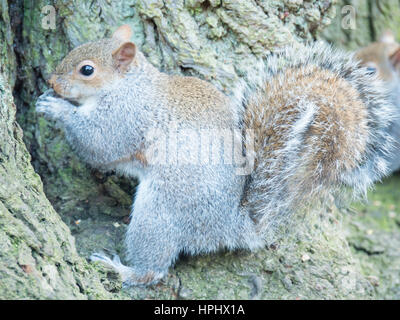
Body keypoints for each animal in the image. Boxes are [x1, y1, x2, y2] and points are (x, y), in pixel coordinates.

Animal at [36, 24, 394, 284]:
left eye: (86, 70)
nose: (51, 81)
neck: (128, 86)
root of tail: (232, 225)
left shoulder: (126, 117)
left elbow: (98, 143)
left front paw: (55, 109)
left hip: (161, 210)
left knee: (153, 269)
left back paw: (121, 269)